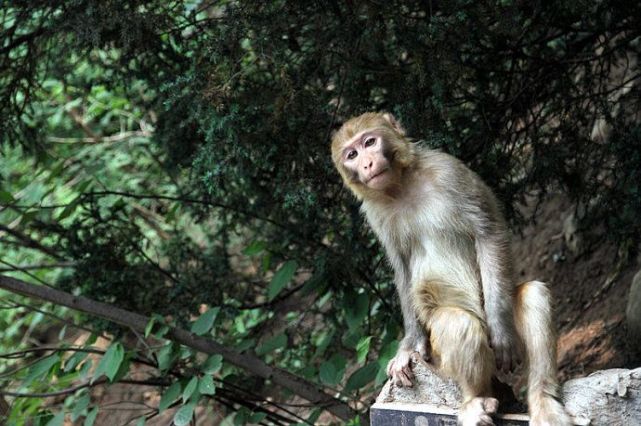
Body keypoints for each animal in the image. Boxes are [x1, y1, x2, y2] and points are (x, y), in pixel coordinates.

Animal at [330, 113, 568, 426]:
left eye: (369, 142)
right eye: (352, 155)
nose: (367, 163)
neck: (402, 186)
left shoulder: (449, 171)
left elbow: (487, 233)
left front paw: (501, 329)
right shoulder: (375, 214)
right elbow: (402, 269)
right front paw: (409, 346)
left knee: (532, 294)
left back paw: (542, 401)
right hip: (441, 363)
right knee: (457, 322)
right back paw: (475, 400)